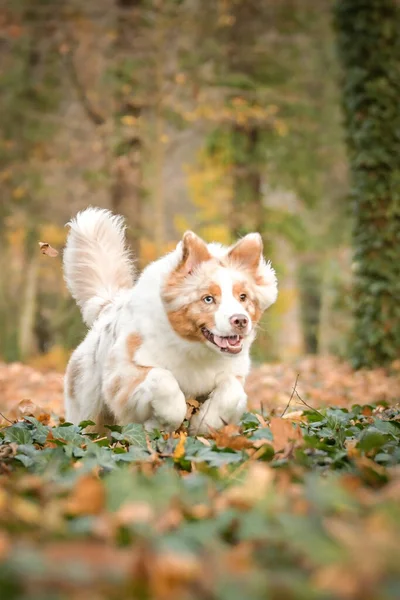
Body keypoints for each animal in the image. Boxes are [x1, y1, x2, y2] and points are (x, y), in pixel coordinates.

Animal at [63, 209, 278, 434]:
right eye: (208, 299)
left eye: (243, 297)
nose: (241, 321)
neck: (194, 349)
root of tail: (108, 306)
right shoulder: (122, 376)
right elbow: (164, 381)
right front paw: (163, 423)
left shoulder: (232, 372)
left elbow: (232, 392)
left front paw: (204, 423)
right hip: (87, 409)